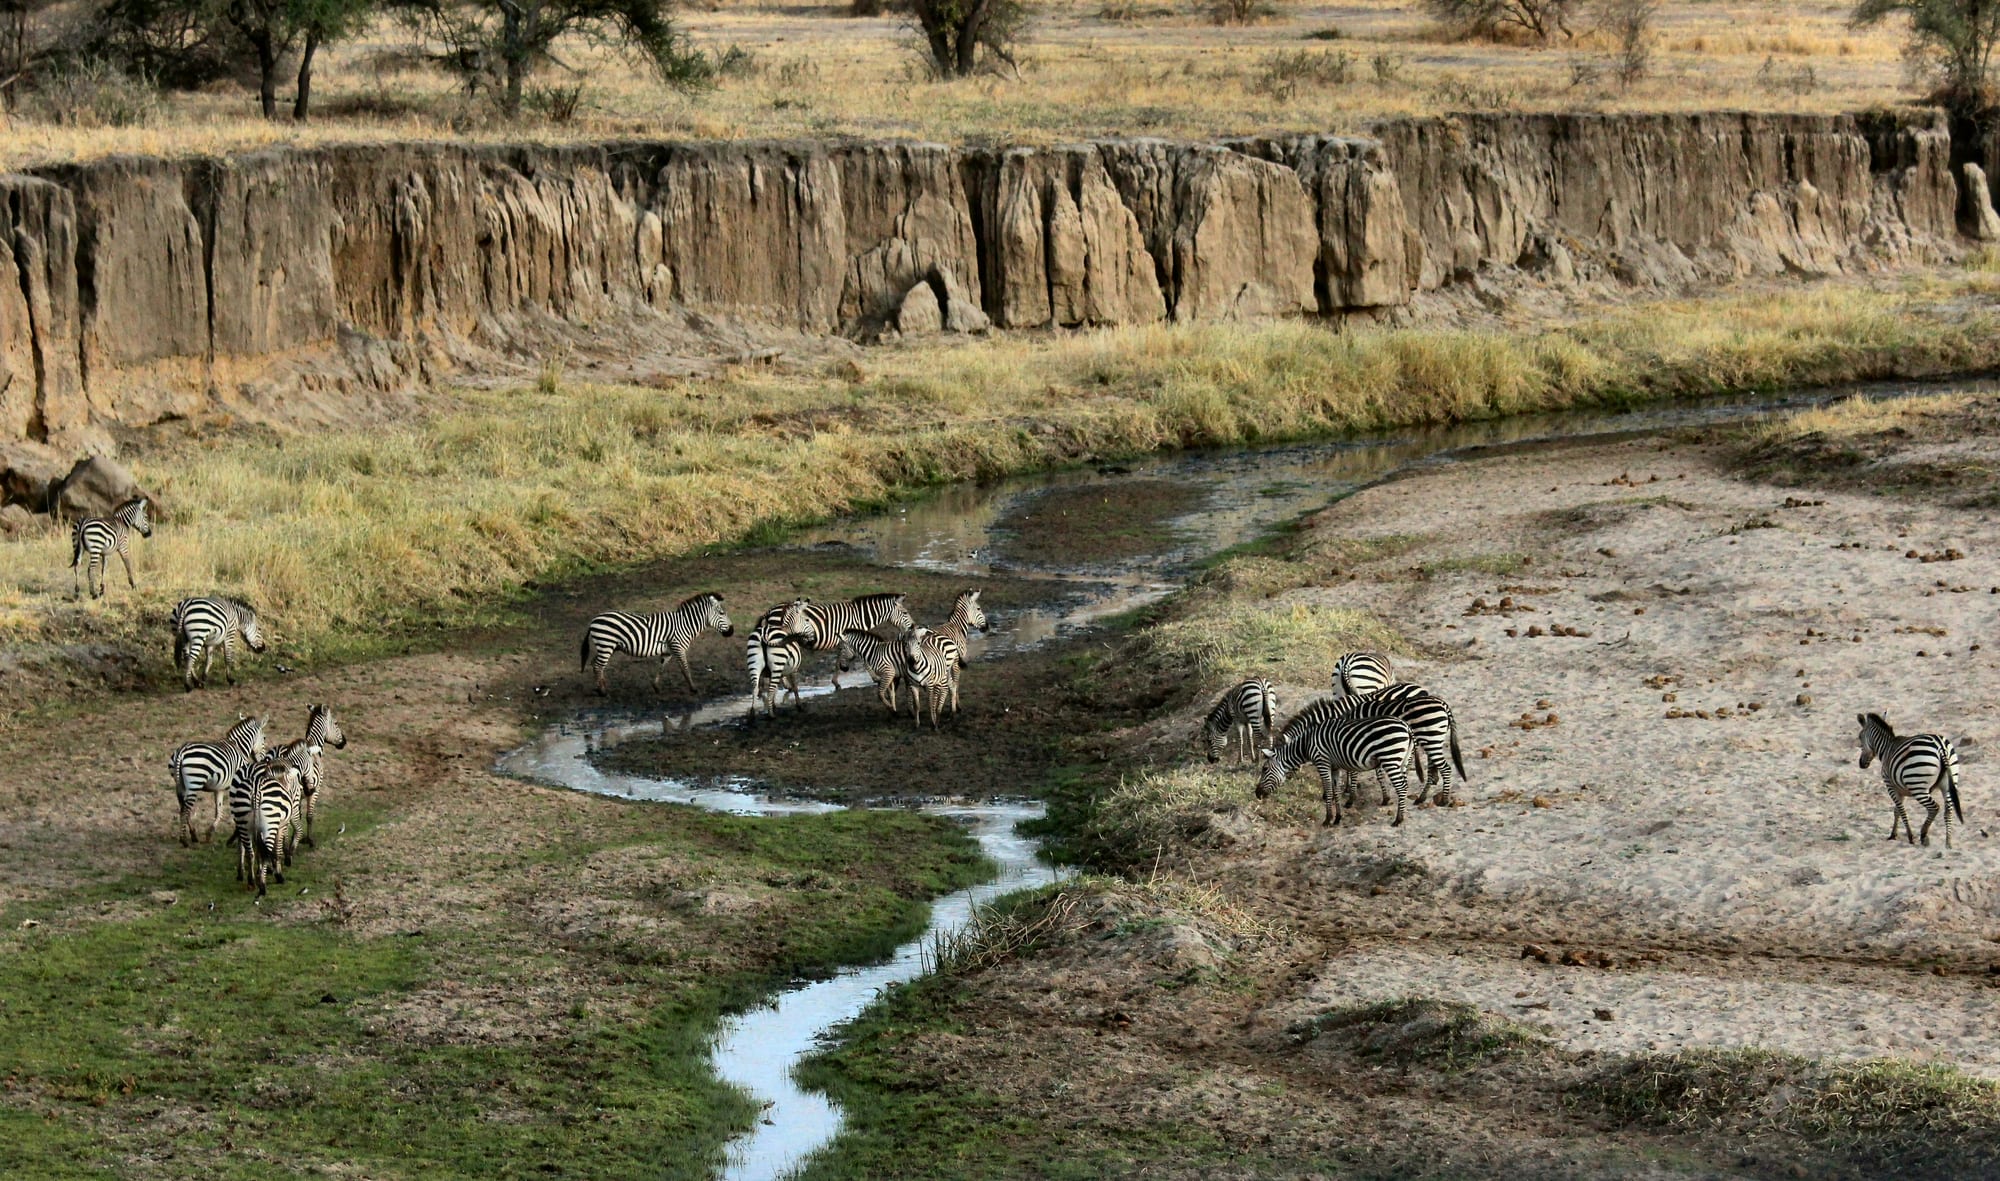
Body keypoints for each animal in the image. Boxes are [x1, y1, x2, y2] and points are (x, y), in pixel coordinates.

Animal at [168, 715, 266, 846]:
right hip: (194, 783)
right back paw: (184, 840)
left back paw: (193, 835)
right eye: (264, 738)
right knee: (186, 809)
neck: (239, 747)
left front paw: (210, 833)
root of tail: (181, 751)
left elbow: (219, 811)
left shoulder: (219, 788)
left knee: (182, 807)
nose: (263, 760)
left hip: (179, 784)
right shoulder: (236, 785)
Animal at [581, 593, 735, 696]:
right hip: (606, 644)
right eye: (722, 613)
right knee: (598, 665)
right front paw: (693, 688)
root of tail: (594, 619)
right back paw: (603, 692)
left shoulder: (668, 651)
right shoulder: (678, 647)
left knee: (596, 664)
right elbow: (685, 669)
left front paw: (656, 687)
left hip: (606, 646)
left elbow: (662, 667)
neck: (685, 624)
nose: (732, 631)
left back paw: (601, 686)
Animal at [1257, 714, 1417, 827]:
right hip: (1402, 761)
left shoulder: (1322, 762)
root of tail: (1406, 727)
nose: (1257, 794)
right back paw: (1400, 816)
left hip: (1390, 758)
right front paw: (1338, 818)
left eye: (1264, 769)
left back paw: (1398, 819)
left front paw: (1327, 819)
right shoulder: (1335, 767)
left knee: (1401, 787)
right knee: (1405, 785)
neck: (1306, 744)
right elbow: (1336, 791)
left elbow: (1328, 790)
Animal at [1277, 683, 1466, 806]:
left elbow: (1350, 770)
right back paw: (1427, 790)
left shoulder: (1348, 741)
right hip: (1433, 738)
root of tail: (1442, 704)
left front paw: (1347, 793)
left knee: (1443, 766)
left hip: (1430, 736)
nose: (1288, 780)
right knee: (1434, 763)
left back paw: (1440, 798)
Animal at [1858, 713, 1965, 849]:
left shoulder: (1890, 786)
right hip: (1949, 782)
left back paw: (1924, 836)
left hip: (1917, 786)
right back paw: (1948, 843)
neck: (1886, 747)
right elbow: (1896, 811)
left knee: (1934, 807)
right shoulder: (1900, 789)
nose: (1861, 764)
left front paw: (1909, 837)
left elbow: (1901, 810)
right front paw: (1893, 835)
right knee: (1949, 810)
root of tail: (1941, 746)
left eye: (1860, 737)